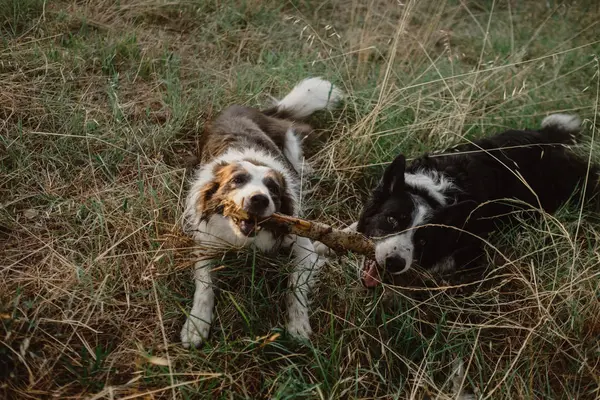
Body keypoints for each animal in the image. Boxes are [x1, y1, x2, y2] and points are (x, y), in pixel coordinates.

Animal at [180, 78, 342, 346]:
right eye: (237, 180)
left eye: (273, 189)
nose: (259, 199)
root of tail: (250, 108)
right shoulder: (206, 241)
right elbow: (204, 286)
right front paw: (196, 324)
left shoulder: (304, 247)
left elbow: (295, 287)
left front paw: (298, 324)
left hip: (289, 140)